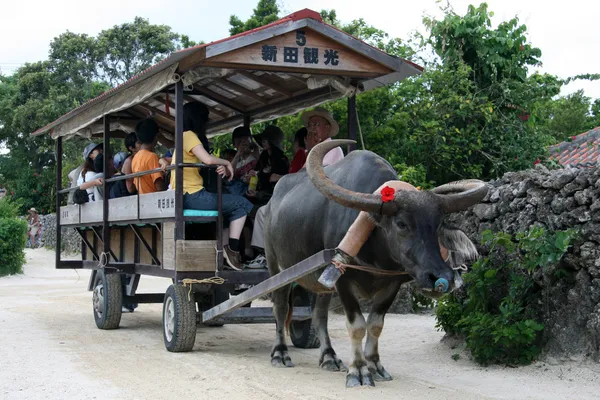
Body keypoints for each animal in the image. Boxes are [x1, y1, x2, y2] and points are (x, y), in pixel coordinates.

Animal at [264, 139, 488, 386]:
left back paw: (329, 357)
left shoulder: (391, 285)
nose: (442, 278)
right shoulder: (343, 280)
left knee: (319, 314)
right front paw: (358, 370)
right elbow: (357, 325)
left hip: (321, 283)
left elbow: (375, 324)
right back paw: (280, 353)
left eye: (438, 225)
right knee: (280, 308)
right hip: (277, 268)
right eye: (401, 223)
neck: (376, 253)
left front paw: (374, 365)